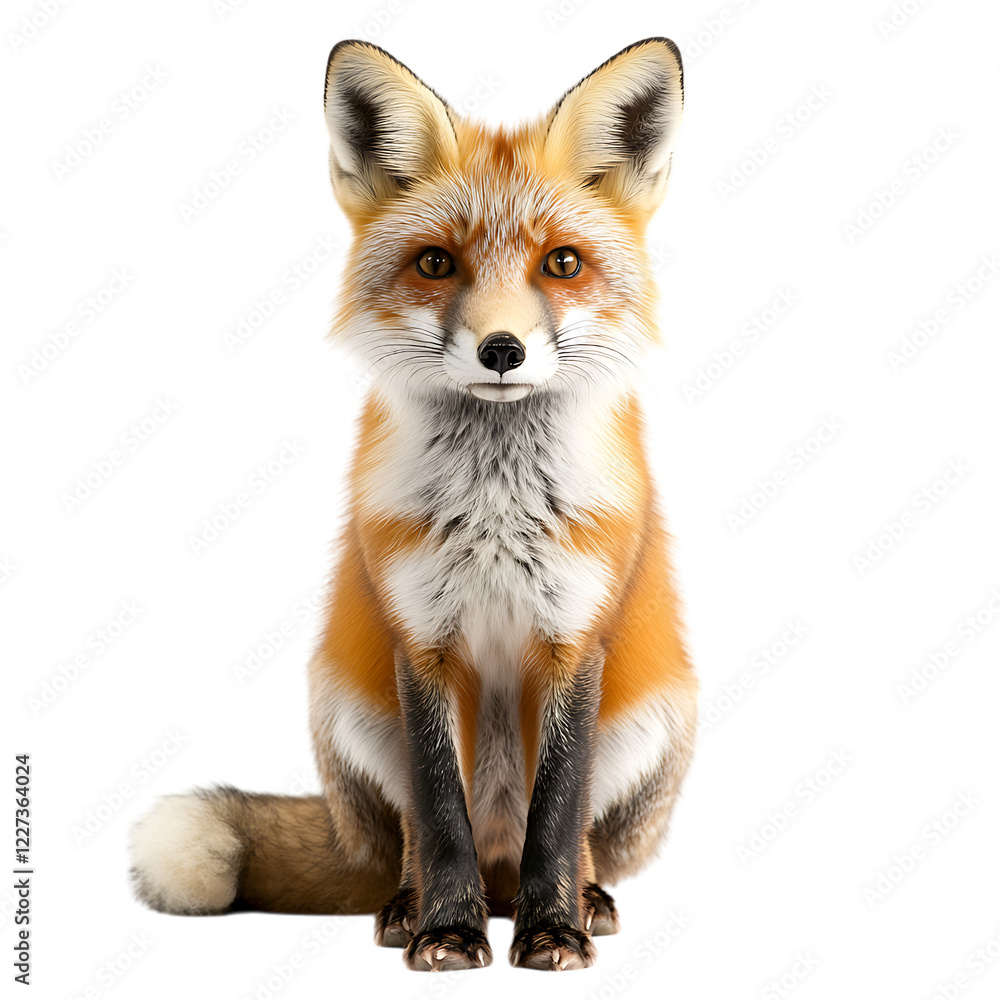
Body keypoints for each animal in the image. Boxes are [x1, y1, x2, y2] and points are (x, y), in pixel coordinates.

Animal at [129, 37, 698, 972]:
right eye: (437, 262)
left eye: (562, 263)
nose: (501, 349)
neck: (499, 510)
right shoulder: (419, 637)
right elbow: (436, 816)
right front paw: (446, 932)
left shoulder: (575, 636)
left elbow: (558, 812)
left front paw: (553, 930)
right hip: (345, 708)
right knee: (404, 841)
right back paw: (407, 906)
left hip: (657, 716)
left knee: (571, 836)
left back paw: (583, 901)